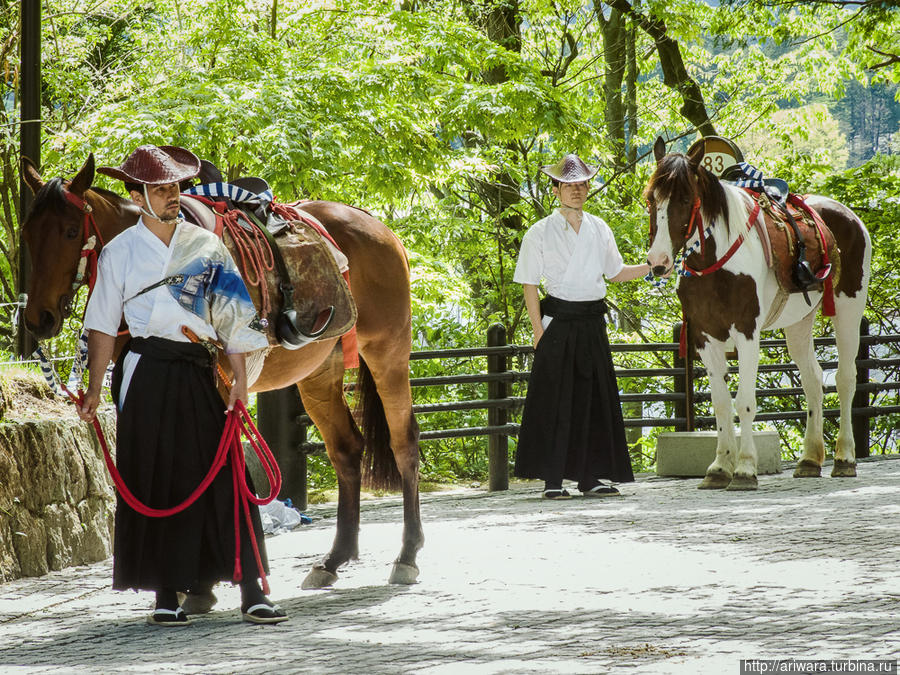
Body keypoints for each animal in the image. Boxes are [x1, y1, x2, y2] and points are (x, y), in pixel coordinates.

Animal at [19, 153, 424, 588]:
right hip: (319, 371)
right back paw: (335, 558)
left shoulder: (223, 384)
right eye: (28, 234)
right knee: (346, 449)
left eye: (70, 231)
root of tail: (375, 225)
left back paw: (407, 553)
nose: (39, 318)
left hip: (387, 349)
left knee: (403, 441)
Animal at [648, 139, 872, 492]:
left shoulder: (747, 333)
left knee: (845, 378)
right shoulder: (705, 337)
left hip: (849, 309)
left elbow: (744, 402)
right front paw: (719, 467)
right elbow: (721, 403)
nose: (657, 261)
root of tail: (849, 216)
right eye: (650, 199)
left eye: (684, 199)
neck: (717, 261)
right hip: (798, 323)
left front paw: (744, 468)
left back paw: (845, 458)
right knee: (812, 380)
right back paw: (809, 460)